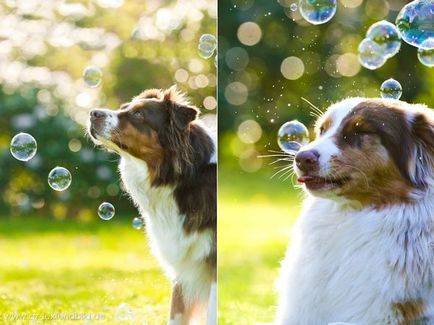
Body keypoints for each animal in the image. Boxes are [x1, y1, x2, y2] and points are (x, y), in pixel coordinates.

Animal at [88, 86, 217, 324]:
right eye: (123, 107)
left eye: (139, 114)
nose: (93, 113)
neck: (182, 178)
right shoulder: (183, 263)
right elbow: (175, 314)